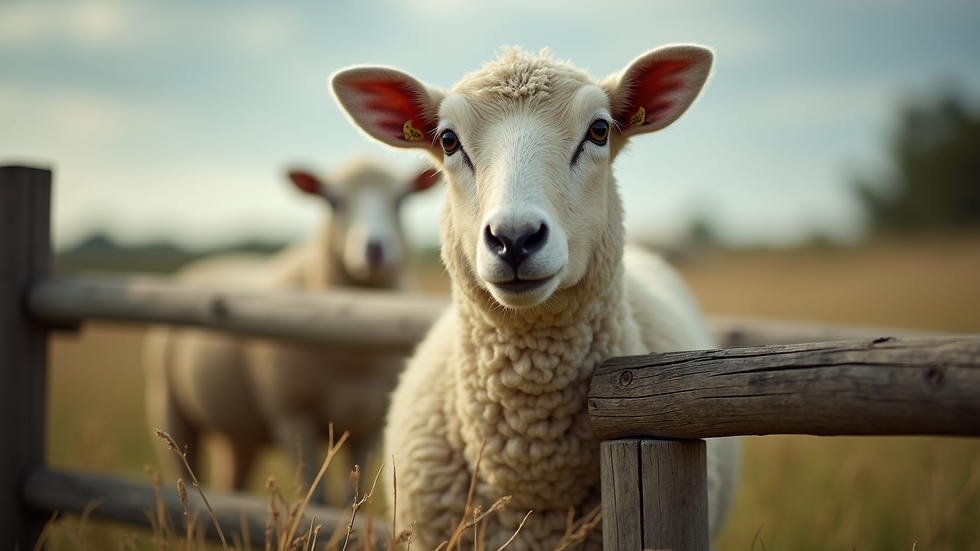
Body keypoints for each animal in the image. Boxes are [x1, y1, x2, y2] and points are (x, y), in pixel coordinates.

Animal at [143, 158, 440, 497]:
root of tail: (207, 263)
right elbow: (316, 495)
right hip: (167, 406)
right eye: (333, 202)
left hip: (237, 432)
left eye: (401, 200)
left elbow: (355, 493)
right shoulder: (293, 417)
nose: (375, 248)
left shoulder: (371, 424)